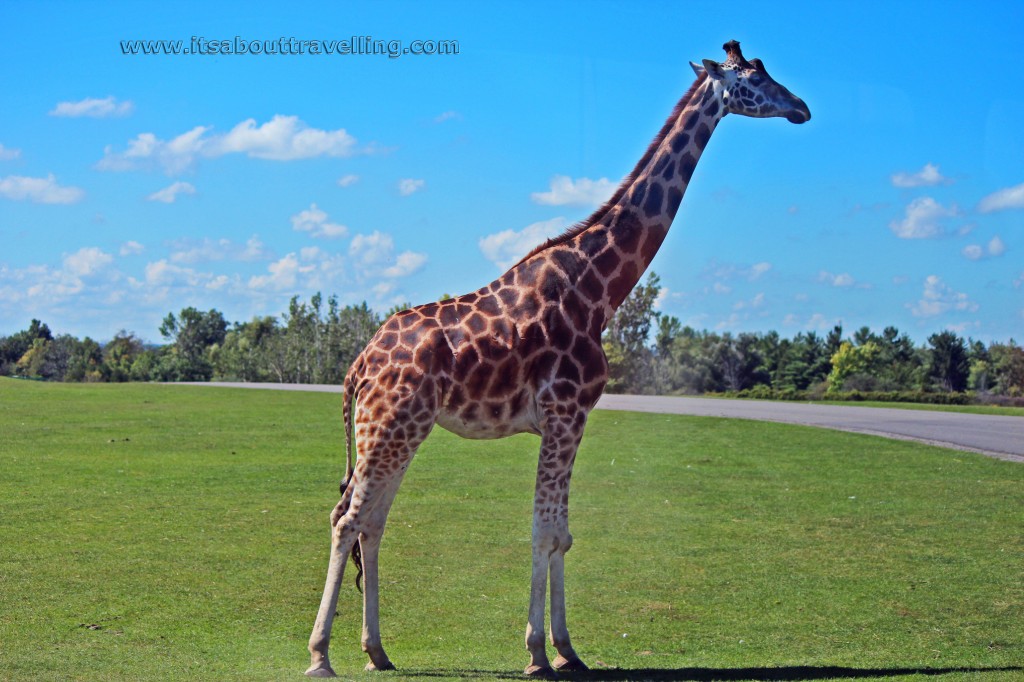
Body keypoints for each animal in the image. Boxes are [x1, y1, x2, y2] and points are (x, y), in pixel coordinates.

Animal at [303, 41, 806, 675]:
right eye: (754, 79)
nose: (802, 108)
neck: (599, 289)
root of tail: (357, 368)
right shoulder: (567, 413)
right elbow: (545, 533)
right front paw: (541, 652)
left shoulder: (569, 420)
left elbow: (562, 533)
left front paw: (568, 649)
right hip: (390, 423)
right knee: (348, 518)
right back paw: (321, 654)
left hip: (402, 427)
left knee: (370, 521)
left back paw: (377, 651)